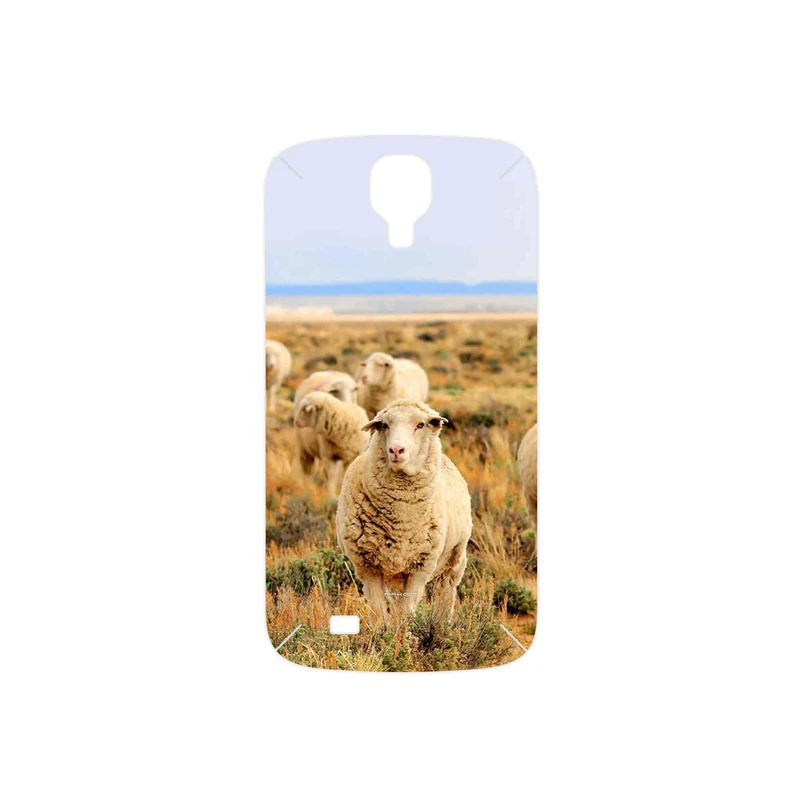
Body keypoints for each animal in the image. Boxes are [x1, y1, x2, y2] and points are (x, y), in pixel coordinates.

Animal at [336, 399, 472, 623]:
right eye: (384, 425)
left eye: (420, 425)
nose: (396, 450)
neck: (401, 518)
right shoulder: (367, 566)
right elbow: (379, 613)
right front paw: (384, 632)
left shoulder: (420, 566)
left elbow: (406, 613)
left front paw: (405, 632)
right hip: (395, 573)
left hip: (454, 558)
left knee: (446, 590)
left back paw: (442, 624)